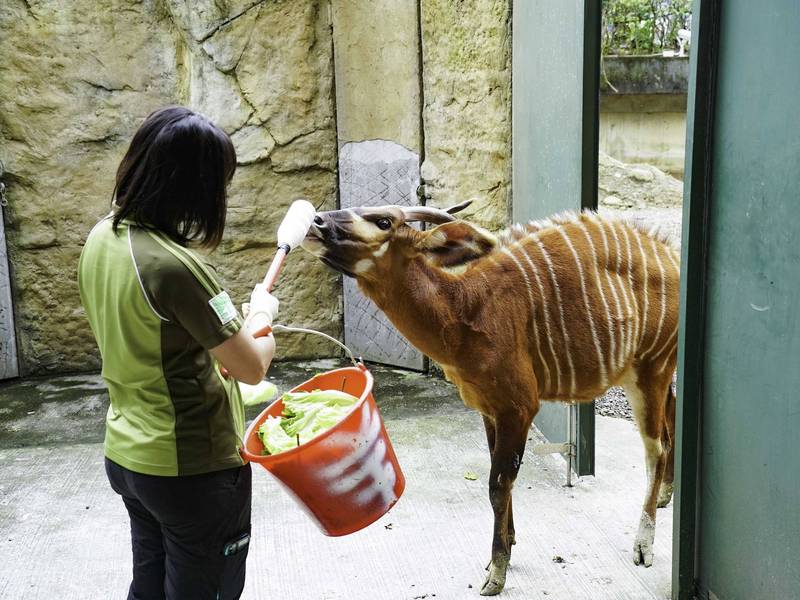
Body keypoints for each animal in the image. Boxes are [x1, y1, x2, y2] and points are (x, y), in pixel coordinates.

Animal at [304, 202, 680, 596]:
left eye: (383, 221)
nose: (315, 221)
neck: (464, 309)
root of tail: (672, 257)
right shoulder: (488, 410)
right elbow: (499, 478)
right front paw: (505, 551)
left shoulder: (519, 407)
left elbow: (498, 485)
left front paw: (496, 573)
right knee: (670, 419)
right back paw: (666, 497)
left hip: (650, 369)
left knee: (656, 448)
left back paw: (643, 546)